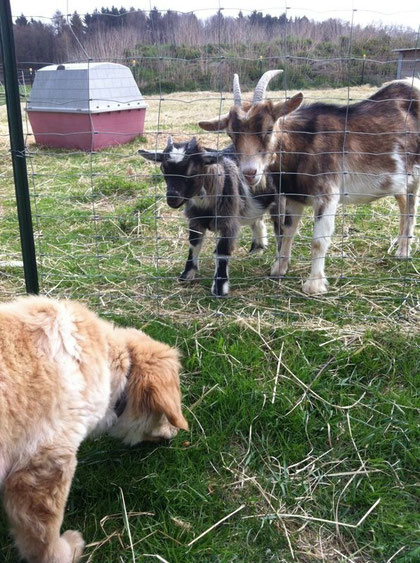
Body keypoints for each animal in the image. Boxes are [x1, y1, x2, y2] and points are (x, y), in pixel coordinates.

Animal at [138, 137, 278, 298]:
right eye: (163, 170)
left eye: (192, 171)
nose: (172, 199)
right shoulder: (195, 221)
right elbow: (194, 244)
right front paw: (186, 275)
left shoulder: (228, 222)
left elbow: (222, 251)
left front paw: (219, 288)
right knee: (257, 220)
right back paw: (257, 249)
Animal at [200, 70, 420, 296]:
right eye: (231, 134)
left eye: (269, 129)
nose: (250, 173)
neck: (302, 146)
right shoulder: (294, 196)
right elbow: (287, 232)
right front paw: (278, 269)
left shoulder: (327, 195)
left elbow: (318, 242)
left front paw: (313, 285)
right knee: (404, 204)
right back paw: (402, 246)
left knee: (411, 207)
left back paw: (403, 252)